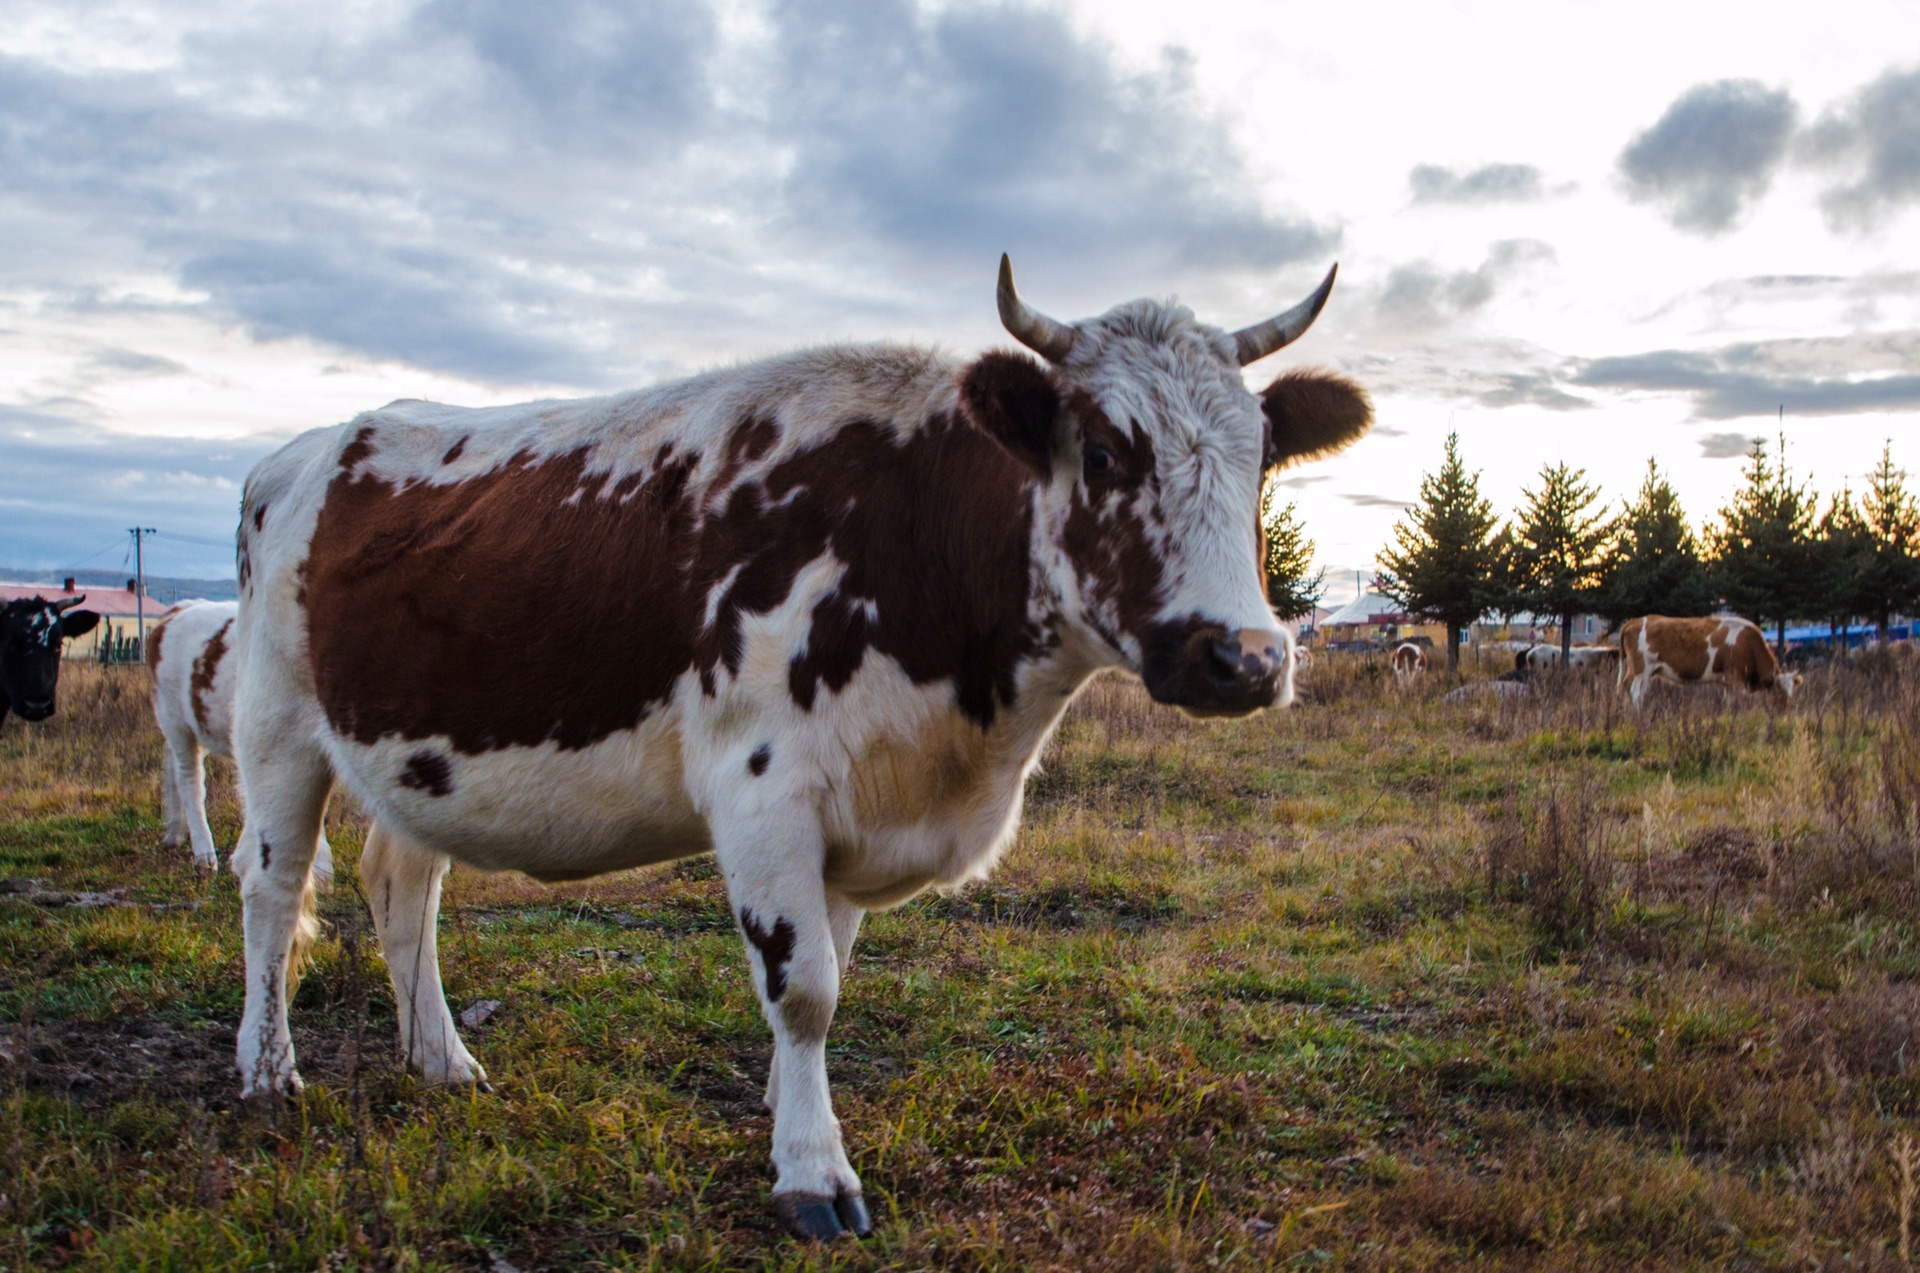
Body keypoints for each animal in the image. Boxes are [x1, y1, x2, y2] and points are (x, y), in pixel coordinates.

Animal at [147, 602, 336, 883]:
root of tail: (180, 608)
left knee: (171, 760)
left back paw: (174, 833)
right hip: (174, 718)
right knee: (189, 778)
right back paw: (204, 855)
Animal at [224, 253, 1374, 1236]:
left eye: (1262, 461)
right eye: (1102, 453)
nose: (1246, 658)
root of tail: (304, 449)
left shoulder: (861, 805)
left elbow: (832, 971)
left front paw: (785, 1113)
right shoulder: (764, 790)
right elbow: (806, 987)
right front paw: (814, 1170)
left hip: (418, 751)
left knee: (401, 880)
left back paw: (442, 1059)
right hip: (275, 723)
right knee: (273, 889)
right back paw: (268, 1069)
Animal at [1620, 618, 1797, 706]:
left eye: (1790, 693)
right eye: (1779, 692)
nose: (1783, 712)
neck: (1747, 643)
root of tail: (1634, 621)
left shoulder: (1728, 684)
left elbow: (1729, 703)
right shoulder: (1736, 679)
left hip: (1640, 672)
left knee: (1627, 688)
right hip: (1641, 670)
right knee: (1635, 693)